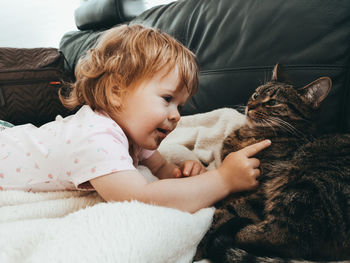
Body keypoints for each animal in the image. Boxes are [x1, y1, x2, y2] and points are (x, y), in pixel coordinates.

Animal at [201, 64, 348, 263]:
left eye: (272, 102)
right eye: (256, 95)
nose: (249, 106)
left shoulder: (260, 188)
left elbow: (228, 210)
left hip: (303, 184)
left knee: (281, 237)